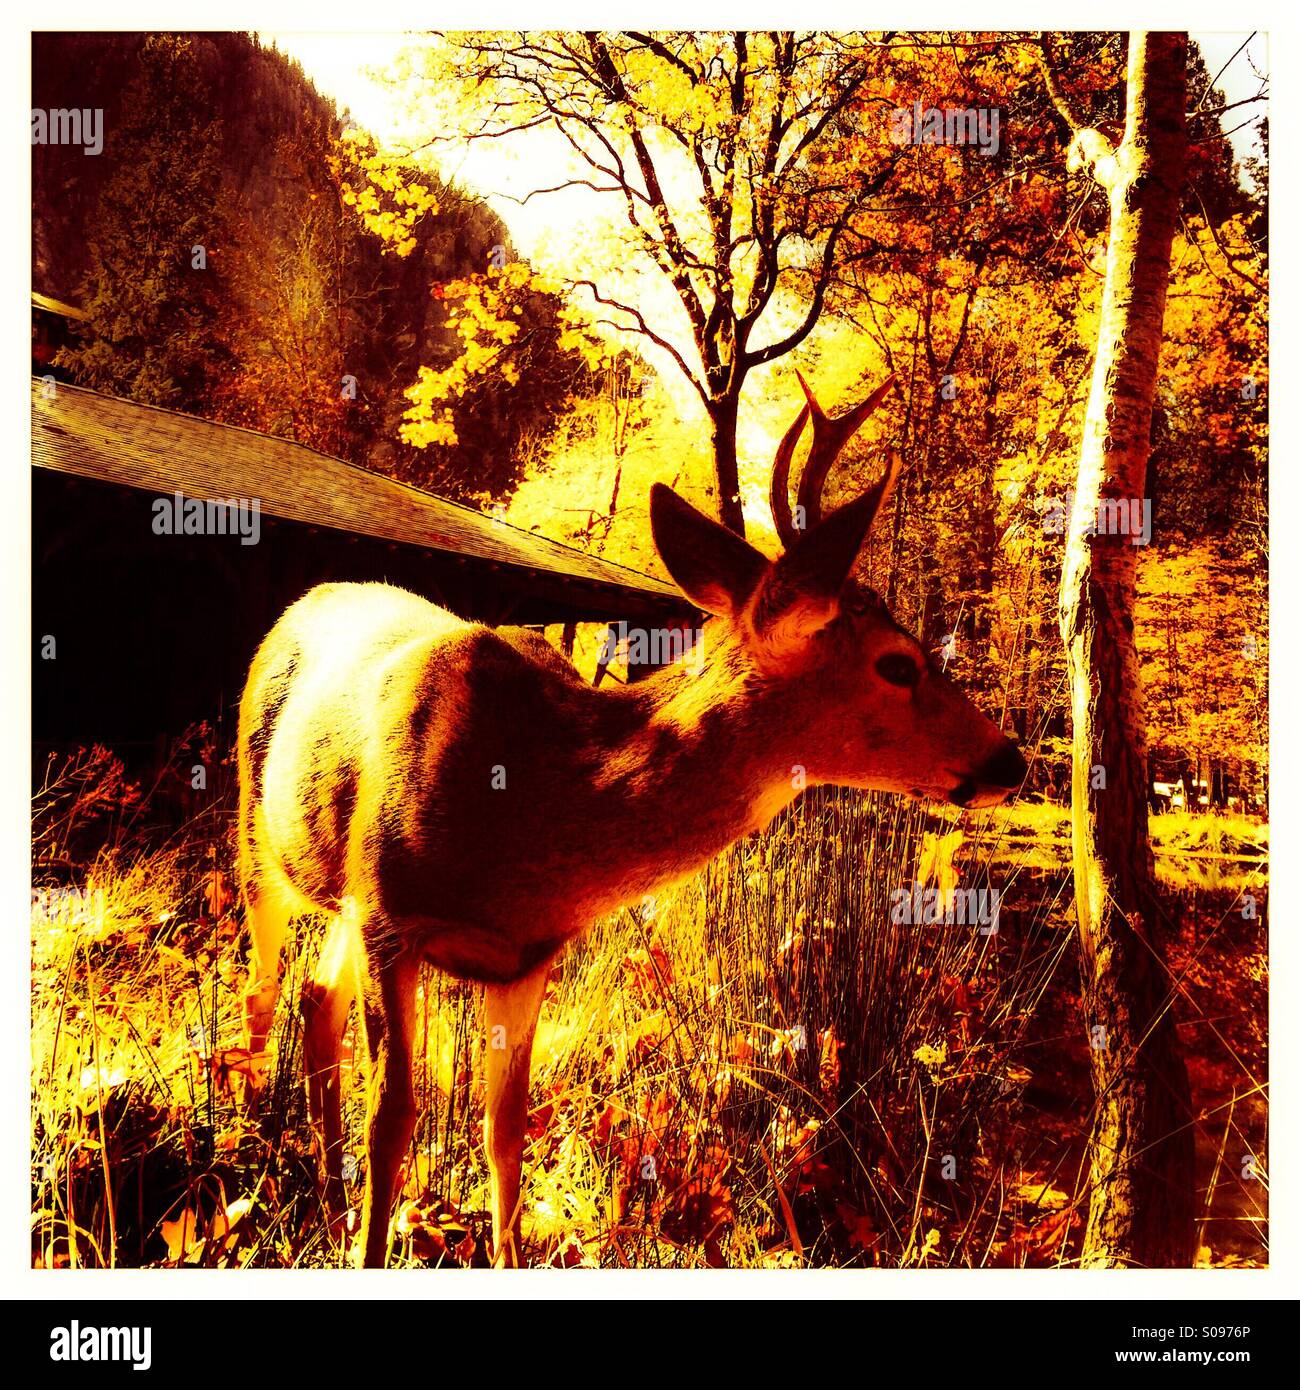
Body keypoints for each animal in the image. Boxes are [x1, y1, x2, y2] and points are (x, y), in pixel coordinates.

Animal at [236, 374, 1027, 1268]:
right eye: (898, 664)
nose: (1011, 761)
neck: (522, 810)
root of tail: (305, 600)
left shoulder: (525, 956)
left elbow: (504, 1131)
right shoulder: (388, 916)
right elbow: (394, 1120)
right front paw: (369, 1246)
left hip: (335, 898)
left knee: (315, 996)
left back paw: (329, 1205)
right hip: (259, 840)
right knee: (265, 989)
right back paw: (255, 1146)